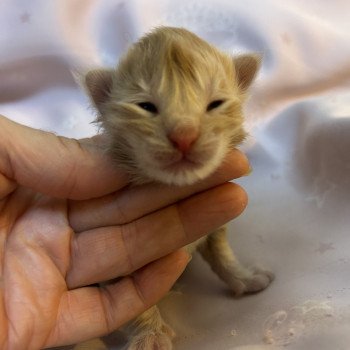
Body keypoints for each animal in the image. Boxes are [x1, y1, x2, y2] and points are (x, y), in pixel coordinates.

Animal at [78, 27, 274, 350]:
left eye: (216, 103)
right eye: (146, 107)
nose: (184, 135)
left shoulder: (215, 221)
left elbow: (222, 254)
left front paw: (244, 278)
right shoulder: (114, 262)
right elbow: (134, 302)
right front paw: (151, 336)